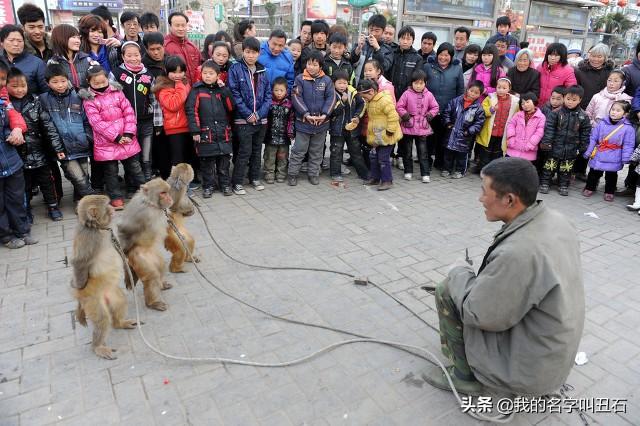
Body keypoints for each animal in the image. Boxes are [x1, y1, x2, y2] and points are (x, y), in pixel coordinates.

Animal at [70, 196, 135, 360]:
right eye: (107, 205)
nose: (112, 208)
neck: (96, 228)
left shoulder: (110, 234)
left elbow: (121, 253)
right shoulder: (90, 238)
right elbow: (79, 263)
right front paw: (79, 306)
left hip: (111, 292)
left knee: (120, 301)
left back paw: (119, 323)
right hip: (92, 300)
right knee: (102, 319)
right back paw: (97, 346)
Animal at [117, 178, 172, 312]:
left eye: (167, 192)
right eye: (163, 193)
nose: (169, 197)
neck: (151, 205)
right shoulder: (140, 212)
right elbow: (123, 229)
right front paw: (128, 271)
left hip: (154, 255)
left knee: (160, 267)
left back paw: (161, 285)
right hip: (138, 256)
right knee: (151, 275)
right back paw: (153, 303)